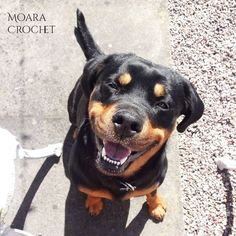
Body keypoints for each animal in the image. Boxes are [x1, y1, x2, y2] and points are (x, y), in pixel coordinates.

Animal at [63, 8, 205, 221]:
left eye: (163, 104)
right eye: (113, 85)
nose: (127, 122)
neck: (119, 178)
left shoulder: (154, 180)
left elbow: (152, 192)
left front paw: (156, 206)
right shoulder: (82, 180)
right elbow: (91, 191)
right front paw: (94, 202)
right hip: (71, 105)